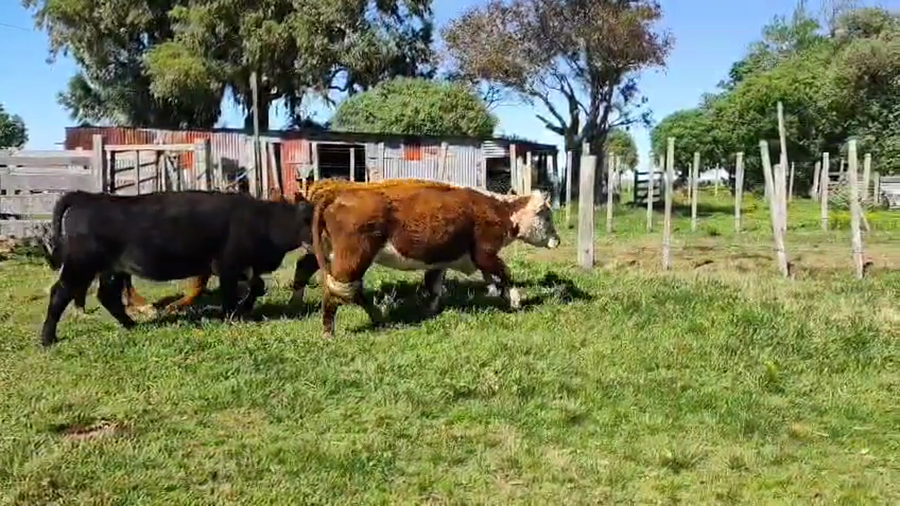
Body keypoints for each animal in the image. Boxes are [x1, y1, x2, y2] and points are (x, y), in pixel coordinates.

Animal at [39, 189, 314, 347]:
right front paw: (231, 316)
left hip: (113, 269)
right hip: (80, 265)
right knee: (59, 293)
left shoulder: (243, 266)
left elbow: (257, 286)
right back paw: (47, 339)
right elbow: (231, 292)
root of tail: (91, 198)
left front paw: (244, 309)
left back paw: (131, 324)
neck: (263, 219)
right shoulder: (228, 264)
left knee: (108, 296)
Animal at [311, 183, 561, 337]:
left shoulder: (440, 261)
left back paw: (379, 320)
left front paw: (431, 309)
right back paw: (329, 332)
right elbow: (505, 273)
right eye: (547, 216)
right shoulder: (484, 255)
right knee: (338, 290)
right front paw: (515, 301)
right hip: (352, 258)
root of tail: (337, 195)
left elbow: (434, 286)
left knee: (350, 290)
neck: (499, 210)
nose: (557, 241)